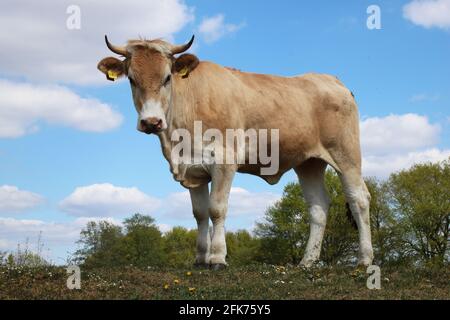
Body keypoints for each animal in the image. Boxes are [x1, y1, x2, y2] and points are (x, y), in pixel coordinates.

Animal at [99, 35, 376, 270]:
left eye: (167, 77)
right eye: (132, 79)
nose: (151, 122)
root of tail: (331, 80)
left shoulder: (224, 161)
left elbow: (216, 208)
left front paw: (217, 258)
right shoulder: (193, 170)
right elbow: (199, 214)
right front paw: (200, 259)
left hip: (346, 155)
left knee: (359, 199)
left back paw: (364, 259)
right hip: (308, 163)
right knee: (318, 206)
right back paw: (307, 261)